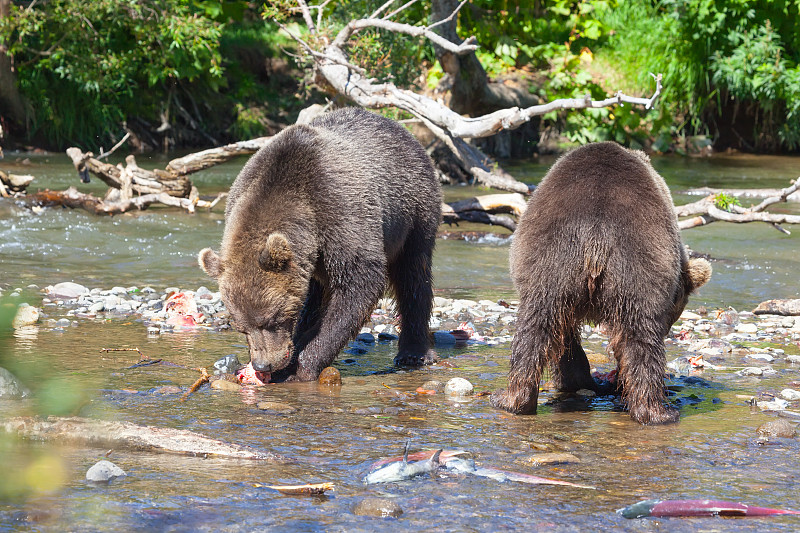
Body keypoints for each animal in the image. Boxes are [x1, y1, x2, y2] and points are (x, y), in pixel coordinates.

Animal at [198, 108, 440, 382]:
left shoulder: (342, 215)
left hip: (414, 210)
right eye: (241, 327)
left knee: (414, 275)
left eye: (271, 319)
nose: (262, 364)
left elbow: (358, 285)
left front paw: (302, 365)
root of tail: (402, 130)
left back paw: (414, 353)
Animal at [494, 141, 712, 424]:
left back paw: (513, 399)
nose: (669, 327)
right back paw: (659, 411)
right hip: (636, 263)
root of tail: (596, 235)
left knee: (533, 329)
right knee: (640, 338)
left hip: (552, 262)